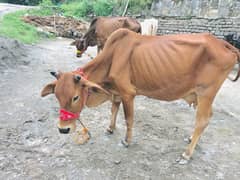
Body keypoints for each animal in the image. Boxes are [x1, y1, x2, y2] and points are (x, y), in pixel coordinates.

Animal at [42, 28, 239, 165]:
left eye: (75, 97)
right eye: (57, 96)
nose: (63, 129)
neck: (112, 55)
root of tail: (224, 44)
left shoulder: (128, 93)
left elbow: (128, 119)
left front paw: (127, 141)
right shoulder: (116, 92)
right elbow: (113, 109)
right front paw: (110, 128)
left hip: (206, 93)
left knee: (202, 120)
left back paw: (187, 154)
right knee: (207, 118)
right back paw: (192, 140)